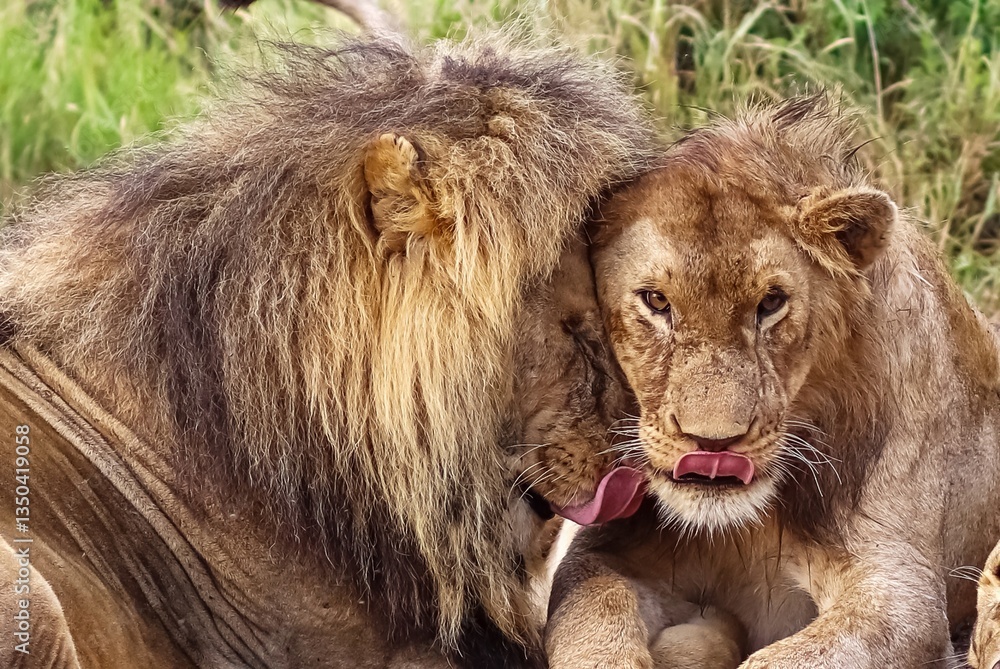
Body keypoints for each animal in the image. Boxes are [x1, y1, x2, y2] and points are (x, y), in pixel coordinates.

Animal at [545, 94, 1000, 669]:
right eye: (656, 301)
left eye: (770, 304)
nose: (713, 443)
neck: (747, 528)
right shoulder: (604, 553)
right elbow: (592, 617)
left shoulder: (901, 596)